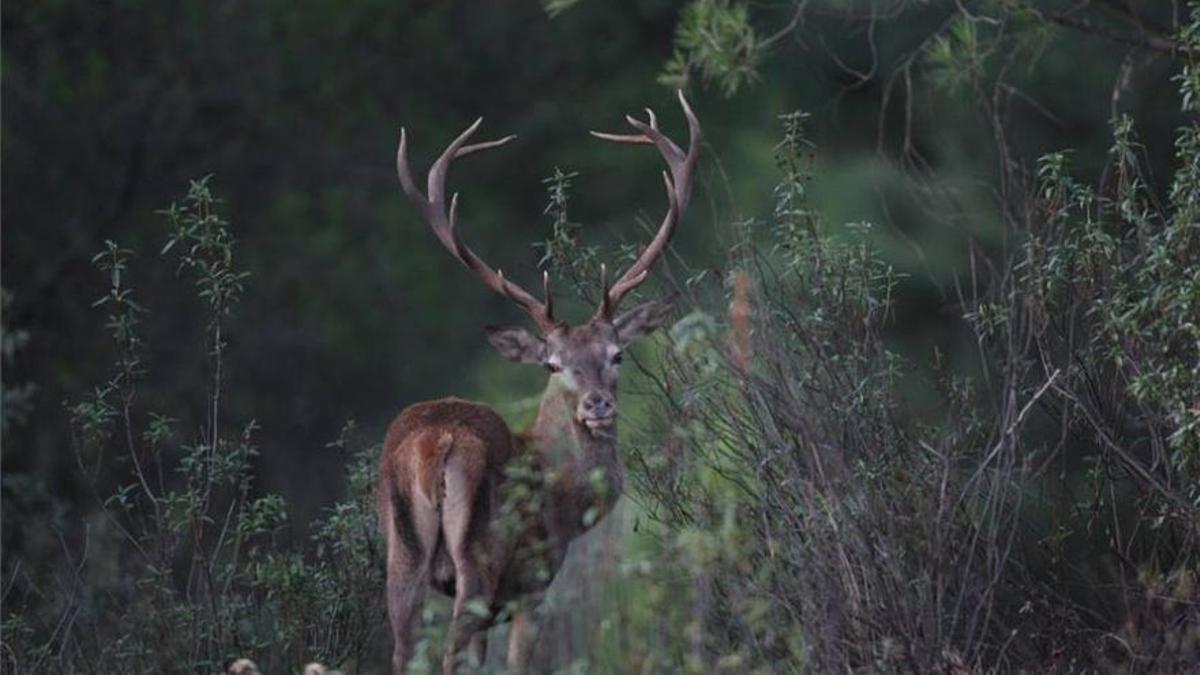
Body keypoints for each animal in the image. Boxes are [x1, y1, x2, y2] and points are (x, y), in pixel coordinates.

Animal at [379, 91, 700, 667]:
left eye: (617, 354)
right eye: (552, 363)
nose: (596, 404)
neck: (567, 500)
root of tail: (435, 443)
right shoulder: (532, 583)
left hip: (403, 556)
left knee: (402, 650)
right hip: (480, 557)